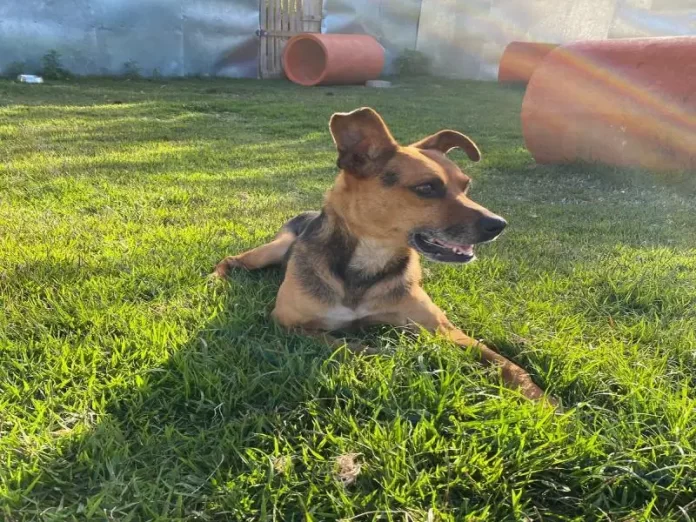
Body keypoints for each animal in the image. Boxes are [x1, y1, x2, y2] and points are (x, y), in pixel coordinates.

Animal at [215, 104, 552, 398]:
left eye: (465, 185)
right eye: (427, 188)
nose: (498, 224)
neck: (369, 260)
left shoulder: (441, 327)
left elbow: (506, 363)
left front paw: (542, 400)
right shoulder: (287, 324)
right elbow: (353, 346)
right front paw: (397, 354)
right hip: (274, 249)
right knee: (231, 259)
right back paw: (216, 280)